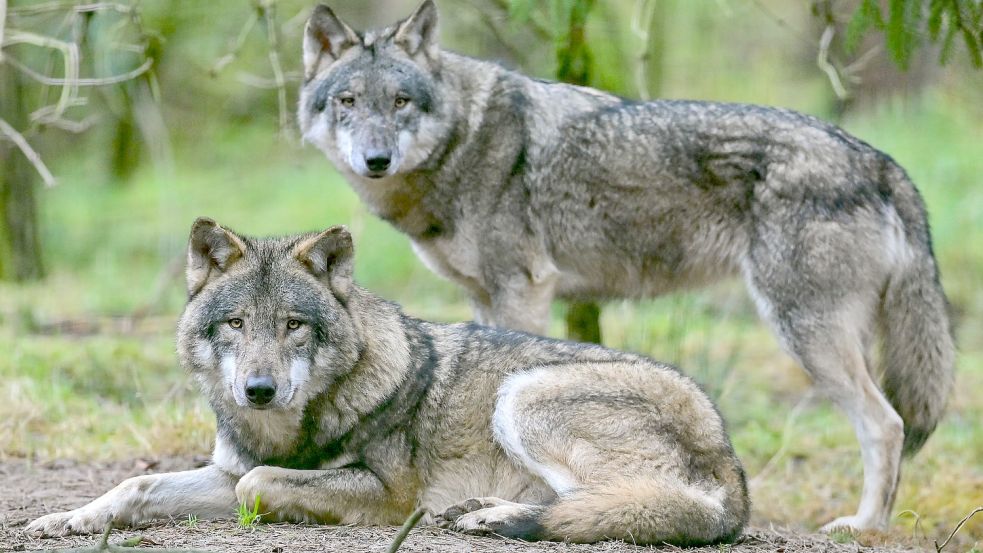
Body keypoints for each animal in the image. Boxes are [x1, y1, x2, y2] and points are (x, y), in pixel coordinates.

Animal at [25, 219, 744, 544]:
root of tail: (729, 456)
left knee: (625, 503)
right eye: (235, 323)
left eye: (293, 326)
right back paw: (483, 511)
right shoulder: (228, 470)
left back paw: (496, 516)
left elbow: (261, 486)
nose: (258, 389)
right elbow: (137, 485)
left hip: (525, 394)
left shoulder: (390, 495)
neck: (290, 427)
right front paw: (67, 517)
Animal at [296, 2, 956, 532]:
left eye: (400, 102)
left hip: (804, 333)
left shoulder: (523, 290)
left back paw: (864, 526)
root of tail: (878, 159)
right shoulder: (486, 298)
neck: (466, 138)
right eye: (348, 103)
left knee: (887, 425)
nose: (376, 159)